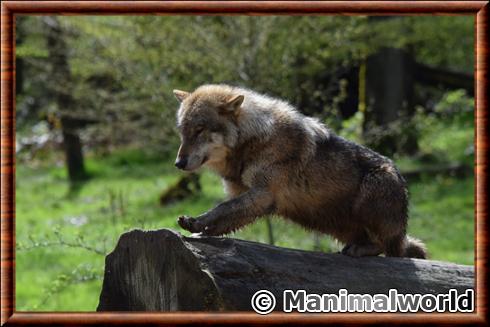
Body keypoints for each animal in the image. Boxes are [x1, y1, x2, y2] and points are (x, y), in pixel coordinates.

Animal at [172, 86, 424, 260]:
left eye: (200, 130)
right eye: (183, 132)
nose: (178, 162)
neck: (251, 141)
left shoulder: (263, 194)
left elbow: (223, 208)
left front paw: (196, 223)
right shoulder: (242, 194)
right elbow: (224, 216)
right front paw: (199, 232)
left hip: (372, 189)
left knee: (385, 246)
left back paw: (360, 250)